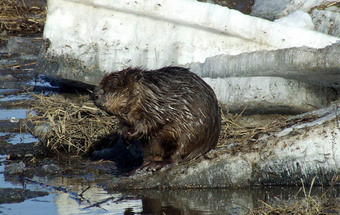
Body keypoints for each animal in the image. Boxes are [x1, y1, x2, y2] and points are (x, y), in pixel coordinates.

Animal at [92, 66, 220, 165]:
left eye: (115, 85)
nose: (95, 94)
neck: (150, 92)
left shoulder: (157, 106)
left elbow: (154, 122)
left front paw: (130, 135)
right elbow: (125, 125)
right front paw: (125, 139)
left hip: (192, 133)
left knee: (177, 155)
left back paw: (156, 164)